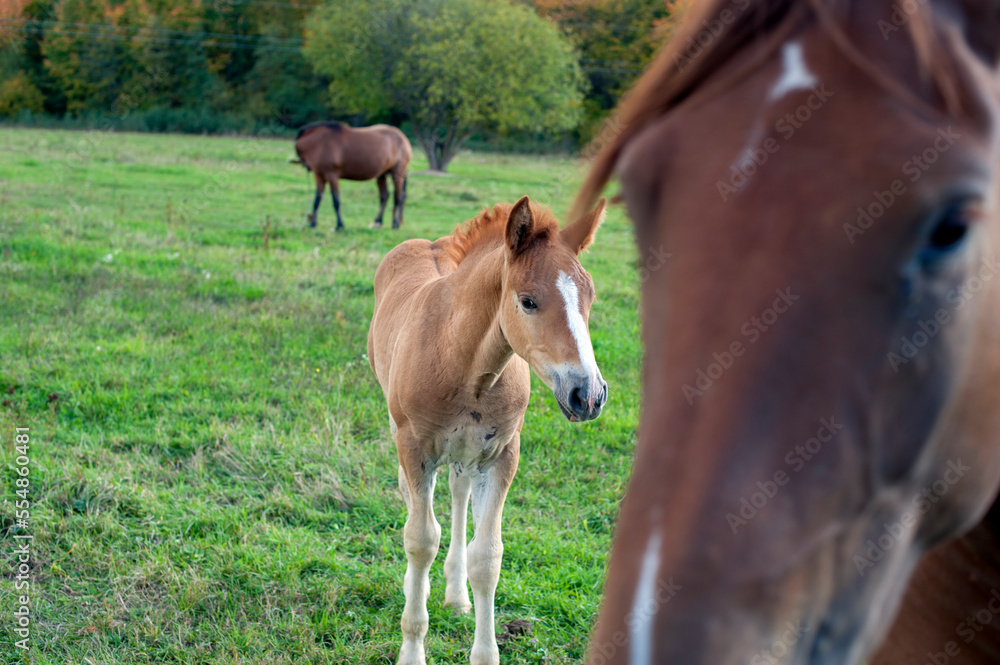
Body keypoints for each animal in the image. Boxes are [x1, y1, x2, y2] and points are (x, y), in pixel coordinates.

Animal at [367, 195, 609, 665]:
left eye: (589, 296)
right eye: (528, 301)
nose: (588, 395)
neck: (462, 362)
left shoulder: (501, 455)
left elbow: (488, 556)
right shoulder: (416, 448)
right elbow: (420, 539)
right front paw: (412, 648)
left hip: (467, 455)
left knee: (458, 494)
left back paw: (456, 594)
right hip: (399, 427)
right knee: (413, 501)